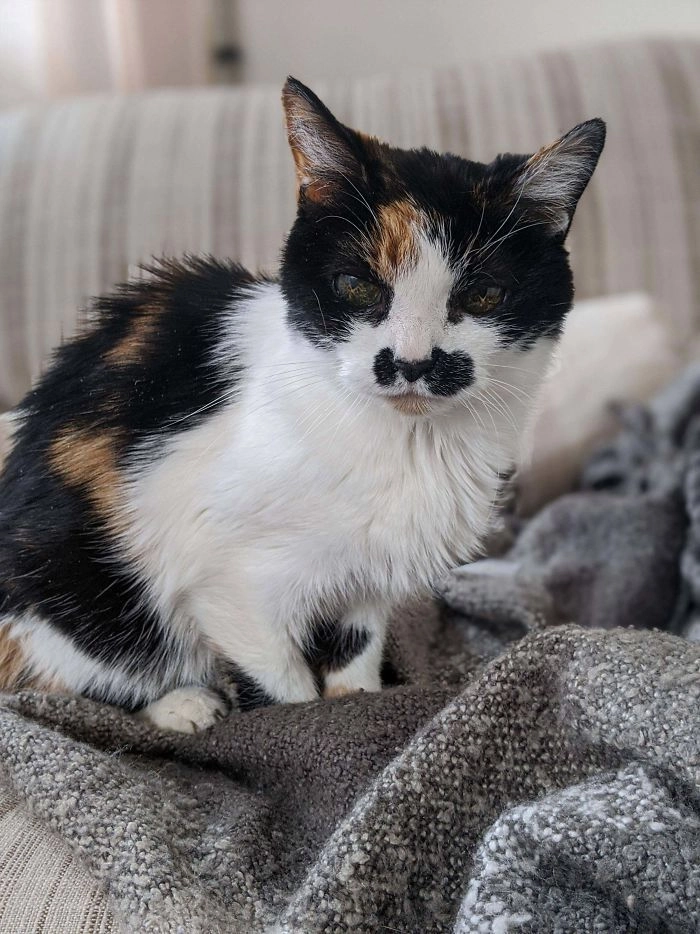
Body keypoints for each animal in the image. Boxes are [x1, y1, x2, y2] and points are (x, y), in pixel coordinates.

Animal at [0, 78, 604, 731]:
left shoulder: (366, 577)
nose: (413, 362)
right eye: (356, 286)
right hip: (70, 580)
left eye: (485, 295)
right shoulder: (224, 579)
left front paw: (359, 700)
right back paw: (182, 704)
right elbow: (279, 683)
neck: (406, 443)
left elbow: (357, 644)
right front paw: (301, 722)